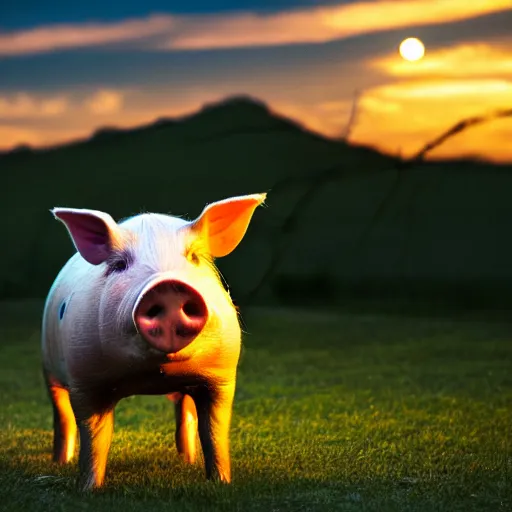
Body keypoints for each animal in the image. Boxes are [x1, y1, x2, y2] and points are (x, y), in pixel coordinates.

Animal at [40, 193, 266, 492]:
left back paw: (187, 459)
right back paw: (60, 462)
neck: (154, 376)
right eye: (120, 265)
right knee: (62, 414)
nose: (168, 287)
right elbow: (95, 437)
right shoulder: (85, 380)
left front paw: (222, 483)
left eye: (194, 257)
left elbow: (214, 432)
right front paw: (89, 490)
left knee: (184, 409)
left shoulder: (221, 375)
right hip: (49, 369)